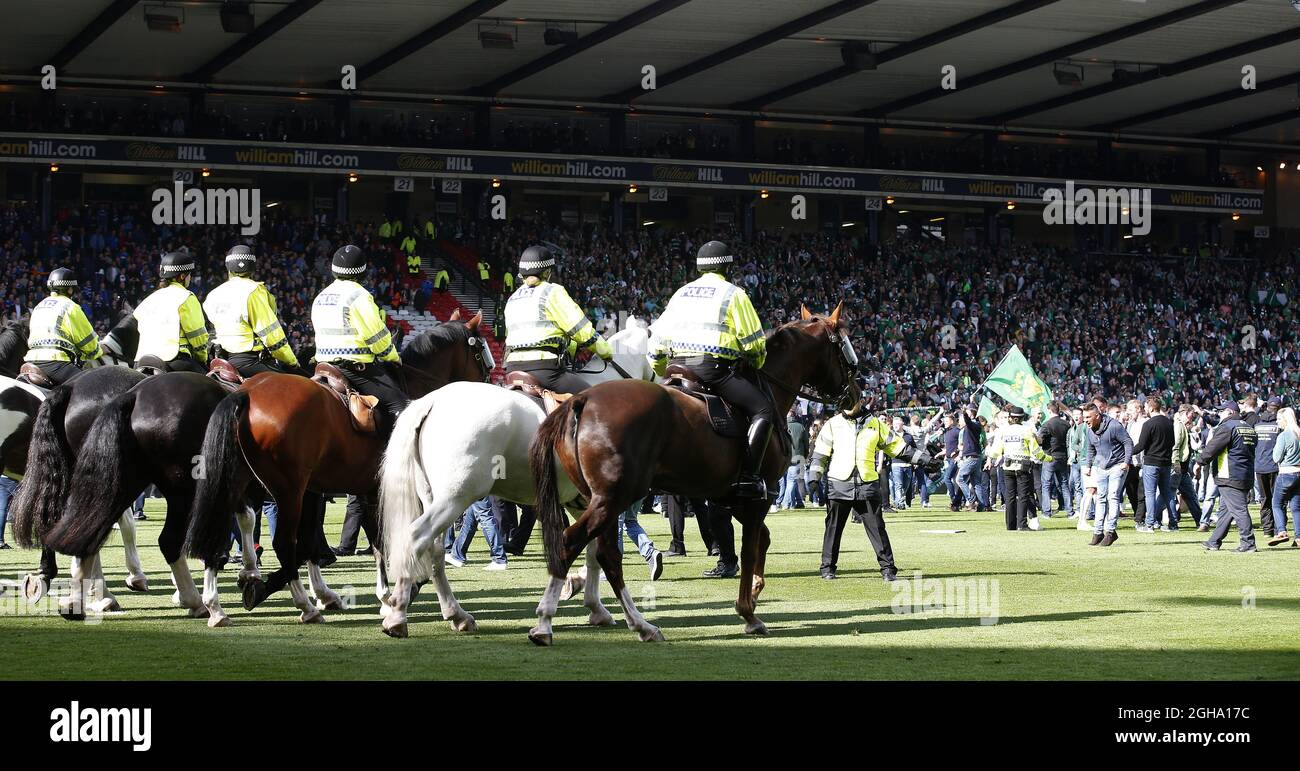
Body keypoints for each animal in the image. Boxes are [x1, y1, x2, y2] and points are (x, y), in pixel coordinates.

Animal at [183, 310, 488, 618]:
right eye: (480, 353)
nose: (487, 386)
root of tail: (246, 392)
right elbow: (386, 539)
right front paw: (403, 589)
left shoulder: (350, 490)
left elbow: (368, 542)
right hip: (287, 491)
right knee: (282, 542)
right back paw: (299, 603)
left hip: (240, 483)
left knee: (226, 526)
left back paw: (223, 596)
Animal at [379, 318, 655, 637]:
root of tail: (432, 401)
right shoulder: (601, 502)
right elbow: (600, 552)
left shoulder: (583, 502)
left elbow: (591, 550)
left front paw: (592, 604)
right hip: (456, 498)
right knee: (416, 537)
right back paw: (398, 614)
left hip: (435, 498)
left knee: (434, 550)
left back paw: (455, 613)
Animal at [522, 304, 857, 639]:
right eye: (845, 346)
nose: (855, 397)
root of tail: (583, 399)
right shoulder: (759, 496)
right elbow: (751, 548)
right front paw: (748, 612)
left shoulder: (734, 498)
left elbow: (762, 538)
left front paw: (755, 591)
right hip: (612, 498)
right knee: (573, 543)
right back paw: (549, 620)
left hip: (598, 499)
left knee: (604, 554)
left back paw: (635, 622)